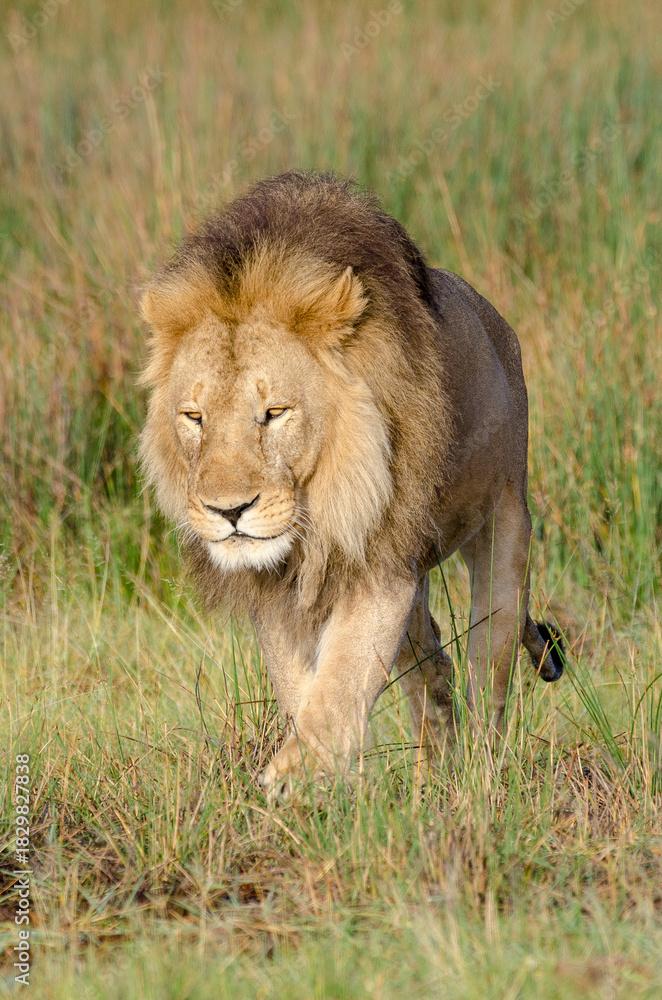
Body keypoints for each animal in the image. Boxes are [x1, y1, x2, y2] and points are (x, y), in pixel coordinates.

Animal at [139, 171, 563, 801]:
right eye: (194, 418)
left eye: (275, 413)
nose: (228, 511)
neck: (320, 501)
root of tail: (498, 323)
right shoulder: (277, 585)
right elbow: (301, 686)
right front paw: (332, 794)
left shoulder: (381, 559)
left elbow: (341, 678)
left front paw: (293, 778)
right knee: (431, 670)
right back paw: (432, 777)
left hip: (505, 524)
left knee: (489, 670)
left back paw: (479, 780)